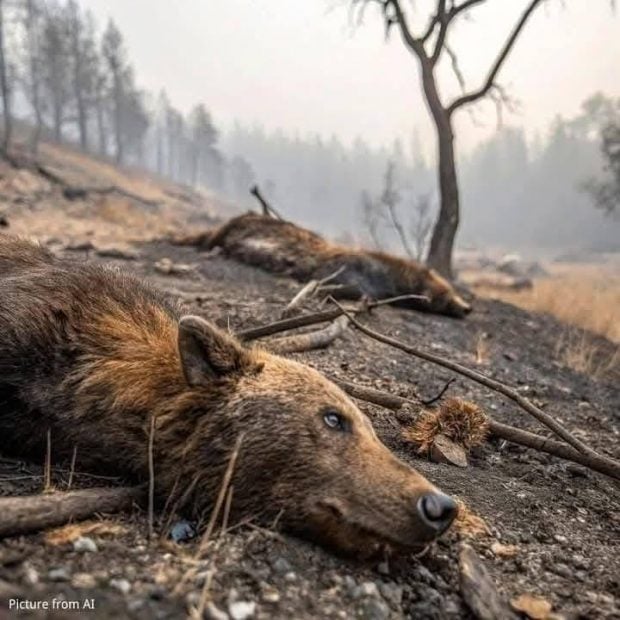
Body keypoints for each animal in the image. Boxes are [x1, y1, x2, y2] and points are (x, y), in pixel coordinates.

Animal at [179, 213, 470, 320]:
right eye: (448, 292)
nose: (468, 307)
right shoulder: (348, 271)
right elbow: (338, 285)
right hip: (230, 228)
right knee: (208, 239)